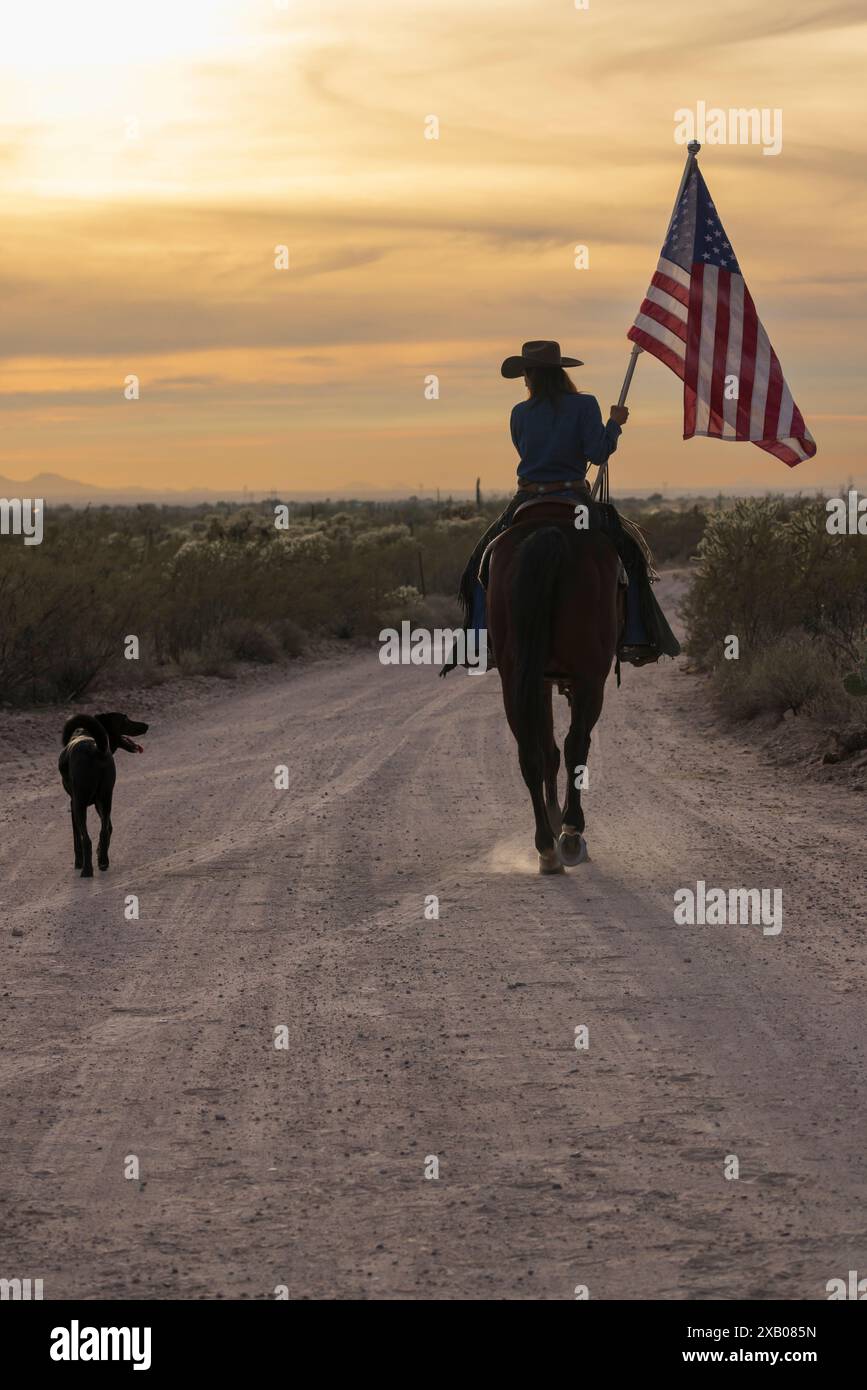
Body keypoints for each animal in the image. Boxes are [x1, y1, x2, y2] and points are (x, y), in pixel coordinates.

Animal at [59, 711, 148, 872]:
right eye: (125, 720)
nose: (146, 726)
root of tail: (96, 749)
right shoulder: (99, 802)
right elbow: (109, 827)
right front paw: (100, 852)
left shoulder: (73, 804)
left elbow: (77, 839)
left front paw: (78, 862)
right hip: (106, 799)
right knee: (104, 831)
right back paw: (103, 861)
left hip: (80, 804)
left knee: (86, 839)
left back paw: (87, 870)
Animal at [489, 505, 622, 872]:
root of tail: (548, 533)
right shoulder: (580, 679)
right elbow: (569, 744)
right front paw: (564, 822)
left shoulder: (540, 679)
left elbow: (547, 749)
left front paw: (552, 815)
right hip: (590, 675)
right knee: (577, 743)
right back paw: (571, 833)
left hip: (514, 676)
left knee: (530, 753)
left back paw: (546, 846)